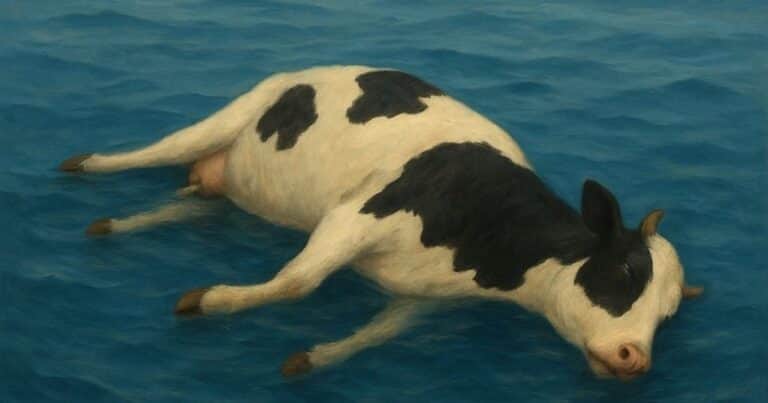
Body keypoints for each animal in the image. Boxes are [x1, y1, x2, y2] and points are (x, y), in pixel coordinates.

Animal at [60, 66, 703, 380]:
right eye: (625, 272)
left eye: (669, 316)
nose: (634, 359)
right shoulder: (356, 212)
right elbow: (298, 282)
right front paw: (208, 301)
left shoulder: (420, 295)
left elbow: (378, 334)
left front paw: (311, 360)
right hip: (235, 114)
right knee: (159, 150)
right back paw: (85, 165)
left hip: (231, 188)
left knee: (191, 200)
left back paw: (110, 227)